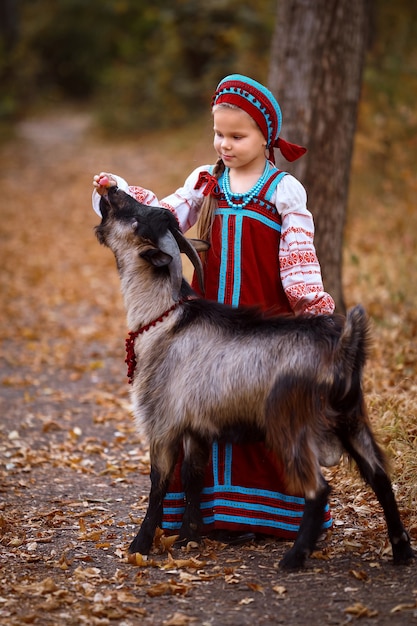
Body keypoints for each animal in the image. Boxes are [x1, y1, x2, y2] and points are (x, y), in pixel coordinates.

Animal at [95, 184, 412, 564]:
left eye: (136, 217)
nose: (111, 188)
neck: (164, 319)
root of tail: (343, 348)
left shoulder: (161, 423)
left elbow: (159, 483)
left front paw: (140, 545)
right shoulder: (196, 427)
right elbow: (192, 478)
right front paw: (189, 538)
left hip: (290, 425)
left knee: (318, 488)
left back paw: (294, 558)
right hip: (352, 418)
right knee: (379, 477)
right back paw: (401, 550)